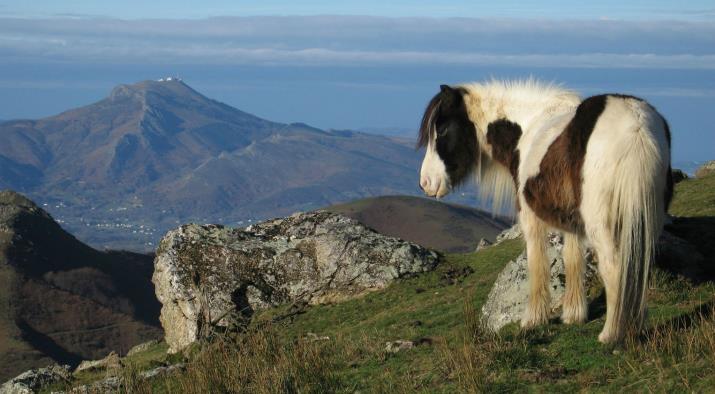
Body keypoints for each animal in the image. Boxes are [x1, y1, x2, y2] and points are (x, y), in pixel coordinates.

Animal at [416, 79, 676, 342]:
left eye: (442, 129)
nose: (426, 182)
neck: (529, 128)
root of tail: (637, 127)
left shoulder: (530, 218)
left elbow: (537, 262)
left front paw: (533, 319)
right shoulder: (571, 221)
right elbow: (572, 259)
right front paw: (573, 315)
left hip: (602, 225)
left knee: (615, 268)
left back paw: (611, 334)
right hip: (647, 220)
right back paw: (634, 326)